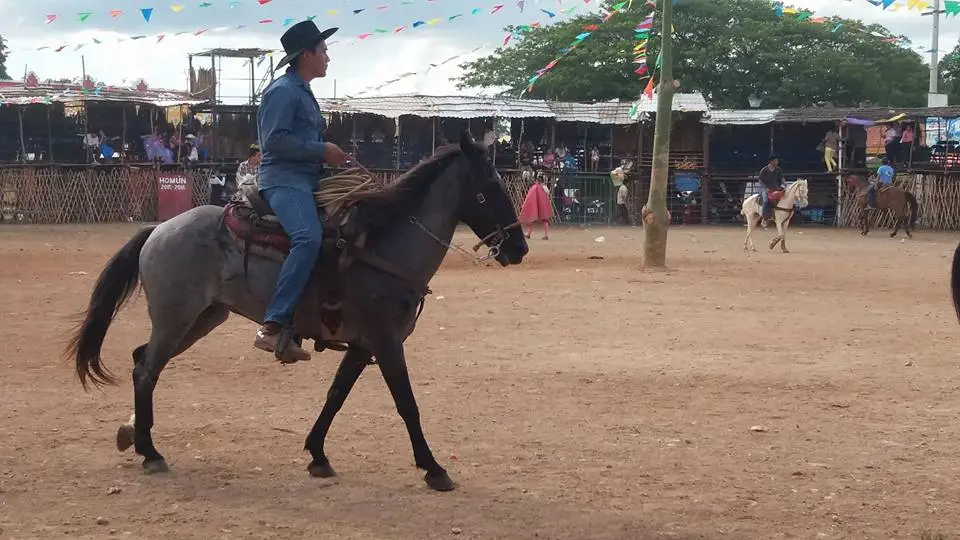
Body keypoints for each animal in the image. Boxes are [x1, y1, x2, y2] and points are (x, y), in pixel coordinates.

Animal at [65, 131, 532, 490]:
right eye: (490, 186)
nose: (519, 248)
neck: (384, 247)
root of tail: (159, 229)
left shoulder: (361, 346)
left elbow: (335, 397)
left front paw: (318, 455)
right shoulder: (386, 342)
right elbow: (407, 404)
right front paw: (434, 469)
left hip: (200, 319)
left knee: (142, 361)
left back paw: (134, 435)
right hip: (176, 319)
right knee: (147, 371)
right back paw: (150, 452)